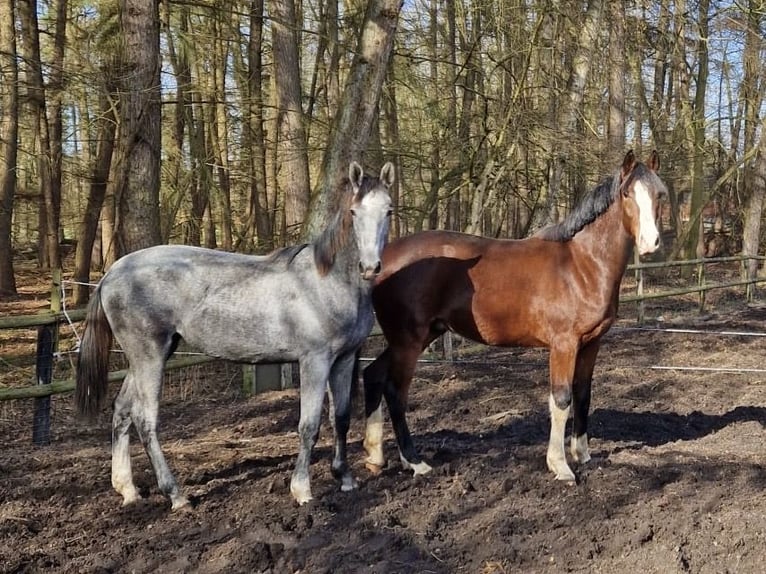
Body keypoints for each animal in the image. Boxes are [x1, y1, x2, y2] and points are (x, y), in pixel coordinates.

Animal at [75, 161, 394, 509]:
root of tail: (112, 273)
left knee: (122, 410)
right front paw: (302, 490)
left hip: (148, 356)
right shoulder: (315, 360)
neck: (327, 282)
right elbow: (309, 426)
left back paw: (128, 489)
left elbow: (342, 418)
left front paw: (345, 478)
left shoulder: (345, 359)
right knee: (145, 419)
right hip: (149, 356)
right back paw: (176, 495)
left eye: (388, 210)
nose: (370, 267)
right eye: (353, 211)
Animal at [362, 150, 666, 483]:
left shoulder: (591, 343)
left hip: (416, 336)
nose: (650, 243)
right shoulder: (564, 345)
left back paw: (375, 457)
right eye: (626, 194)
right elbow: (561, 399)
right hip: (408, 341)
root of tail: (382, 261)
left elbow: (583, 395)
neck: (581, 264)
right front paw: (560, 465)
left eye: (659, 194)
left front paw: (583, 455)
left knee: (372, 375)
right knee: (395, 392)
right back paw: (415, 462)